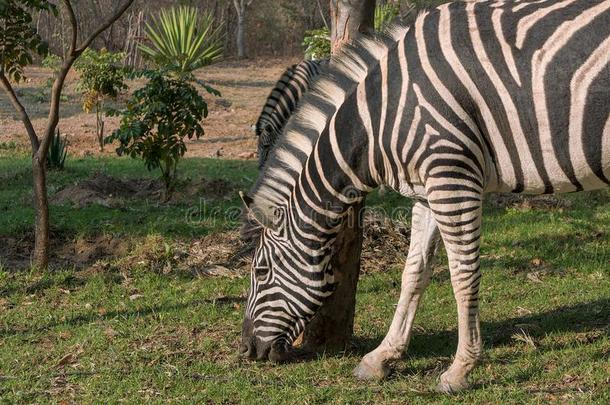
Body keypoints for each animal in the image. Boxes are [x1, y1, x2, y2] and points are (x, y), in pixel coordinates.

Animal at [236, 0, 608, 392]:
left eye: (260, 271)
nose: (245, 349)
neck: (379, 116)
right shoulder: (426, 191)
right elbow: (413, 272)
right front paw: (380, 358)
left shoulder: (451, 175)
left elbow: (463, 274)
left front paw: (460, 370)